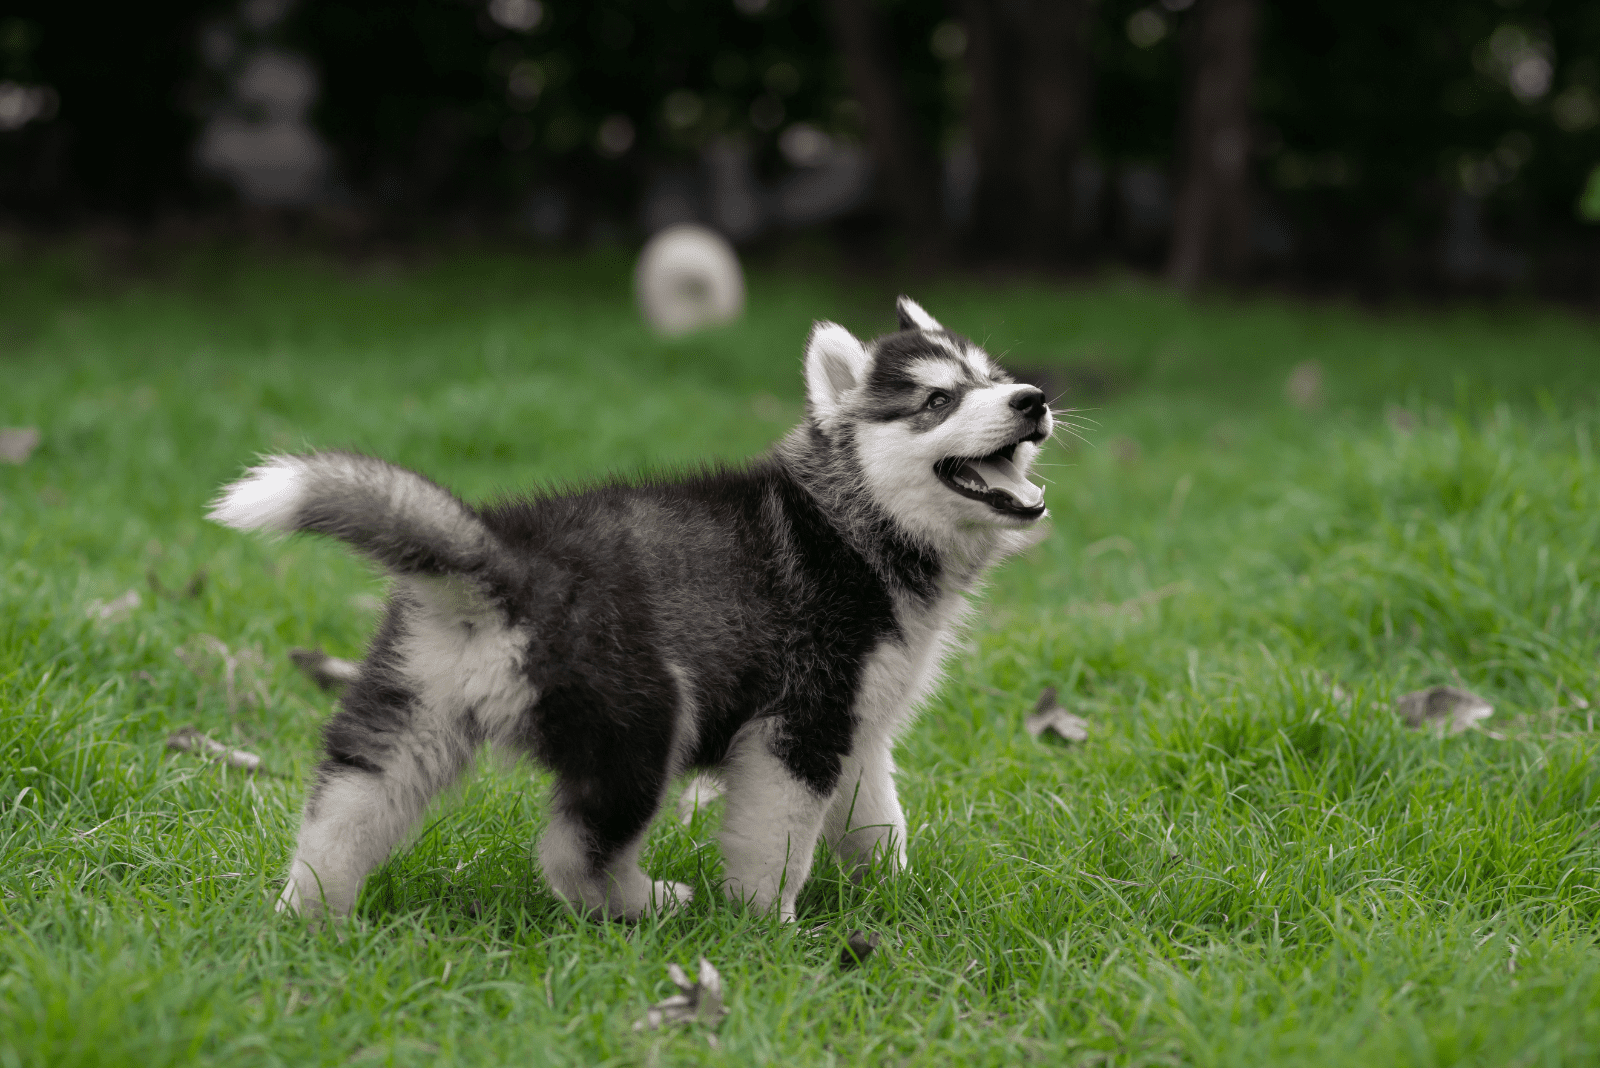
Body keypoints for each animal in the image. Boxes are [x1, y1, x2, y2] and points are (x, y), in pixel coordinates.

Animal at [212, 295, 1056, 920]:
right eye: (937, 400)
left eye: (993, 377)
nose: (1033, 398)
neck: (856, 519)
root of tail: (501, 559)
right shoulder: (796, 724)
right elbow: (775, 843)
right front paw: (772, 930)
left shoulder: (854, 725)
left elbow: (877, 818)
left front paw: (896, 890)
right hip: (644, 718)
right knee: (572, 854)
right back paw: (650, 904)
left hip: (408, 714)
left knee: (341, 814)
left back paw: (310, 920)